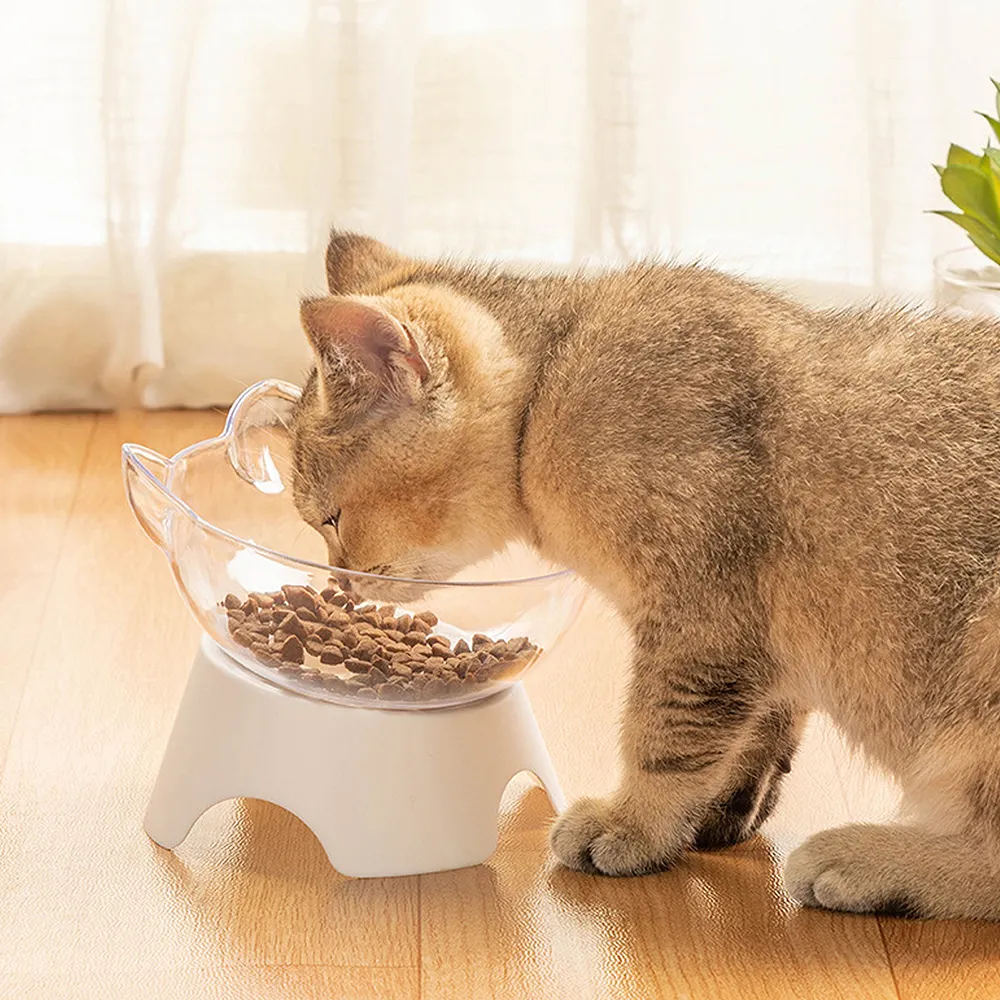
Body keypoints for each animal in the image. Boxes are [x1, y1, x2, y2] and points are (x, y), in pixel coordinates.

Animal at [288, 232, 1000, 920]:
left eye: (332, 519)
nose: (339, 584)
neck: (548, 392)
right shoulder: (759, 647)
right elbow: (759, 727)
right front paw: (723, 806)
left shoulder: (701, 619)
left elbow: (663, 735)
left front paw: (634, 824)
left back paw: (871, 862)